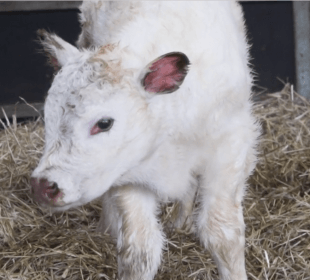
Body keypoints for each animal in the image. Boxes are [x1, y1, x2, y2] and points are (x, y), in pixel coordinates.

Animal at [31, 1, 260, 278]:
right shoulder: (129, 174)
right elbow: (140, 252)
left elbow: (222, 234)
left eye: (104, 123)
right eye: (48, 117)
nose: (43, 186)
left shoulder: (231, 149)